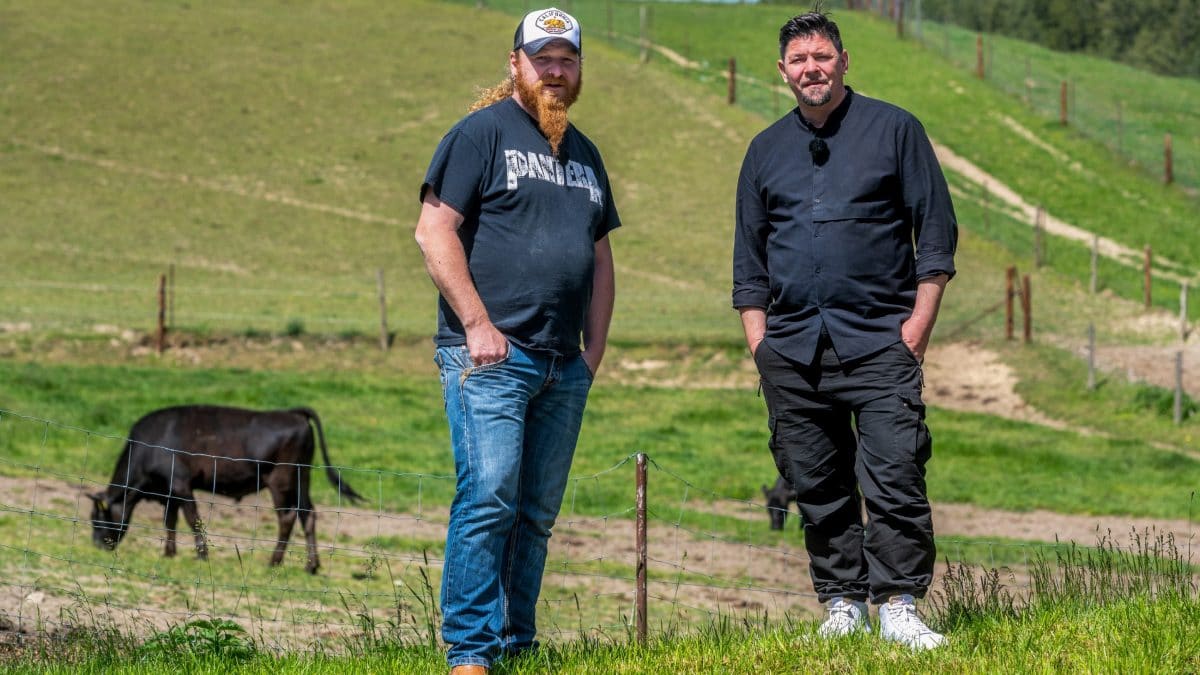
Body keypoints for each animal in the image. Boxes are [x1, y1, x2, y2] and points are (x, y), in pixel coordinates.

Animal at [87, 403, 362, 571]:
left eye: (97, 518)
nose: (97, 545)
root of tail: (292, 413)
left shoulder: (180, 484)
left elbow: (192, 520)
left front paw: (201, 555)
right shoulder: (169, 491)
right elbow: (170, 521)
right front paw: (169, 553)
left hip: (281, 480)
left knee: (287, 517)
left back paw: (273, 561)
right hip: (301, 478)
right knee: (308, 514)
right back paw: (311, 565)